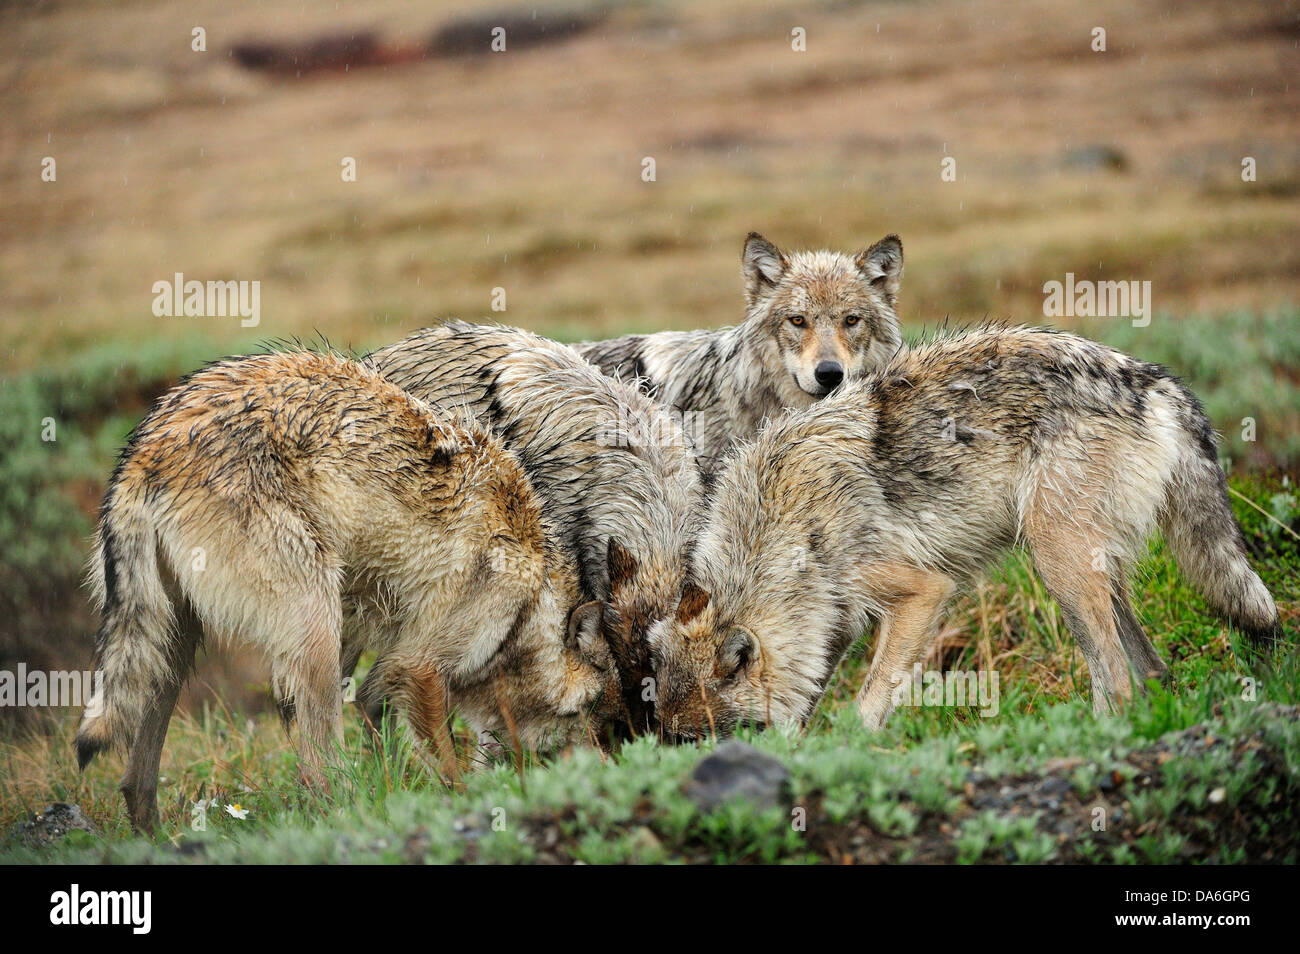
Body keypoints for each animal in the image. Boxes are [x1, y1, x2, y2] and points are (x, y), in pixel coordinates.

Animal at [74, 350, 614, 832]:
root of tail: (146, 452)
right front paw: (456, 807)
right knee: (317, 772)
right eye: (593, 711)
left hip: (175, 644)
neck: (534, 595)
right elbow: (449, 770)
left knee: (135, 779)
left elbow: (384, 728)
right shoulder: (417, 665)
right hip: (316, 629)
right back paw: (348, 818)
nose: (609, 769)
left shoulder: (385, 674)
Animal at [648, 326, 1283, 738]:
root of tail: (1158, 382)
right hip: (1088, 571)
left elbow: (866, 706)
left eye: (702, 741)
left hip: (1058, 565)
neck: (785, 525)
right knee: (1152, 672)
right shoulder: (836, 622)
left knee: (1120, 681)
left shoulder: (922, 592)